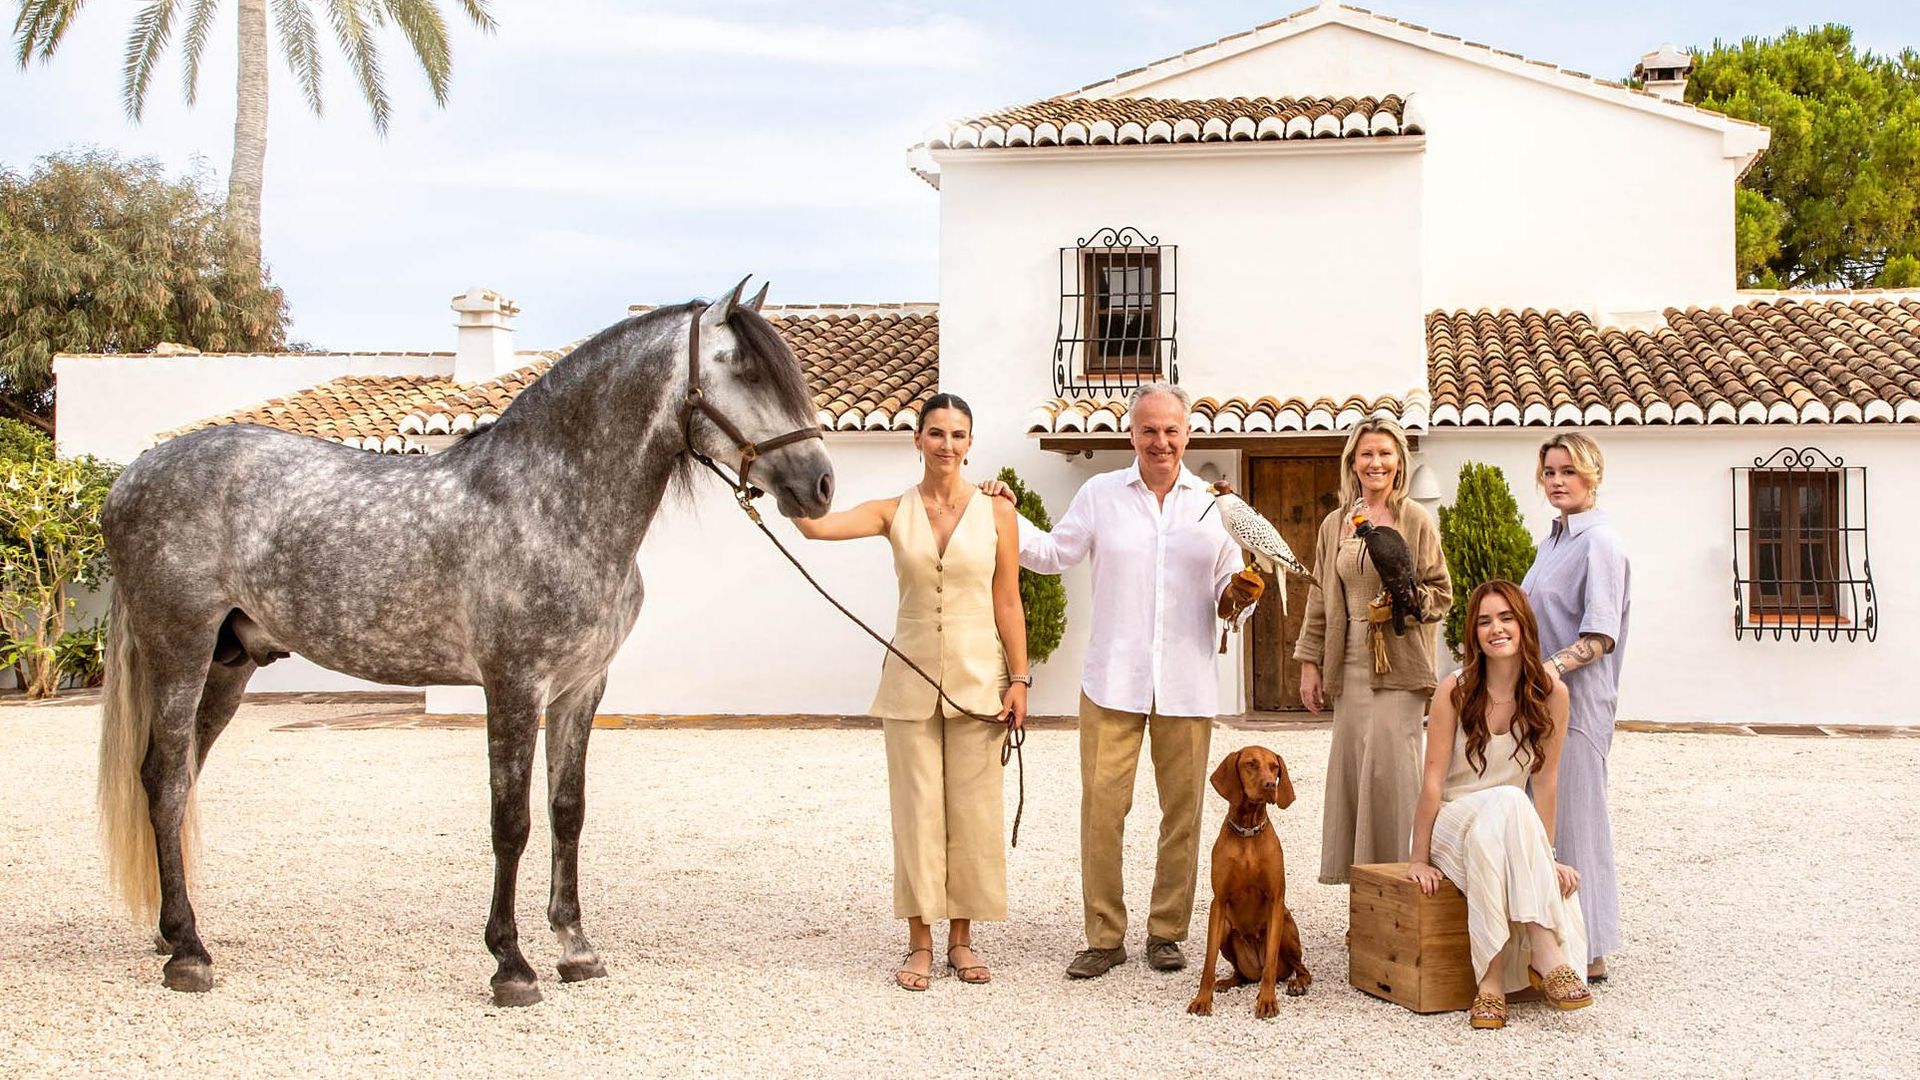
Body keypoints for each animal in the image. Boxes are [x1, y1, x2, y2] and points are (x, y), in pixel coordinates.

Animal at [97, 282, 833, 1006]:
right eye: (742, 368)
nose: (820, 484)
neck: (550, 503)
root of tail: (130, 478)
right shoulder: (514, 685)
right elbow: (511, 821)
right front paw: (512, 964)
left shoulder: (580, 689)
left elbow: (567, 812)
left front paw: (576, 949)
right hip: (180, 652)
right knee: (165, 780)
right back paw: (189, 953)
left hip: (229, 665)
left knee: (183, 776)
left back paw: (173, 933)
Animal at [1175, 745, 1313, 1014]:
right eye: (1250, 764)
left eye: (1275, 767)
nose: (1270, 785)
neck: (1248, 833)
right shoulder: (1218, 902)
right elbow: (1208, 963)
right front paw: (1202, 999)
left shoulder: (1275, 900)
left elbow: (1271, 964)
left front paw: (1267, 1001)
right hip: (1228, 931)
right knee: (1240, 973)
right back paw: (1228, 981)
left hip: (1285, 923)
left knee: (1298, 969)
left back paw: (1298, 984)